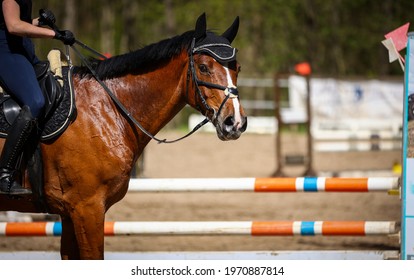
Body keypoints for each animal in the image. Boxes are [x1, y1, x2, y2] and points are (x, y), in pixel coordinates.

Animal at [0, 12, 246, 258]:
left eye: (238, 68)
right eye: (203, 67)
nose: (235, 122)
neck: (107, 108)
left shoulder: (69, 213)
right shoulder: (87, 208)